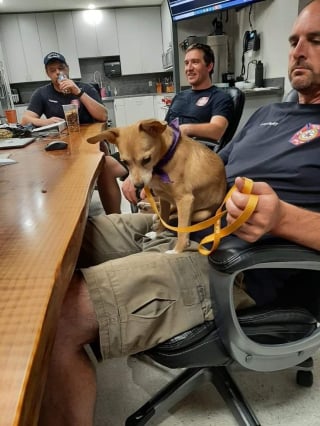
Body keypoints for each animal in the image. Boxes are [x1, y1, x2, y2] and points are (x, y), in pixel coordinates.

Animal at [87, 118, 226, 253]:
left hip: (203, 213)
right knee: (167, 212)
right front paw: (157, 233)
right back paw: (147, 207)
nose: (138, 186)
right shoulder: (164, 197)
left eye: (146, 159)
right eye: (125, 162)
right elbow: (164, 217)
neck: (166, 158)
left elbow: (181, 228)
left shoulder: (185, 200)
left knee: (176, 216)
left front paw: (177, 250)